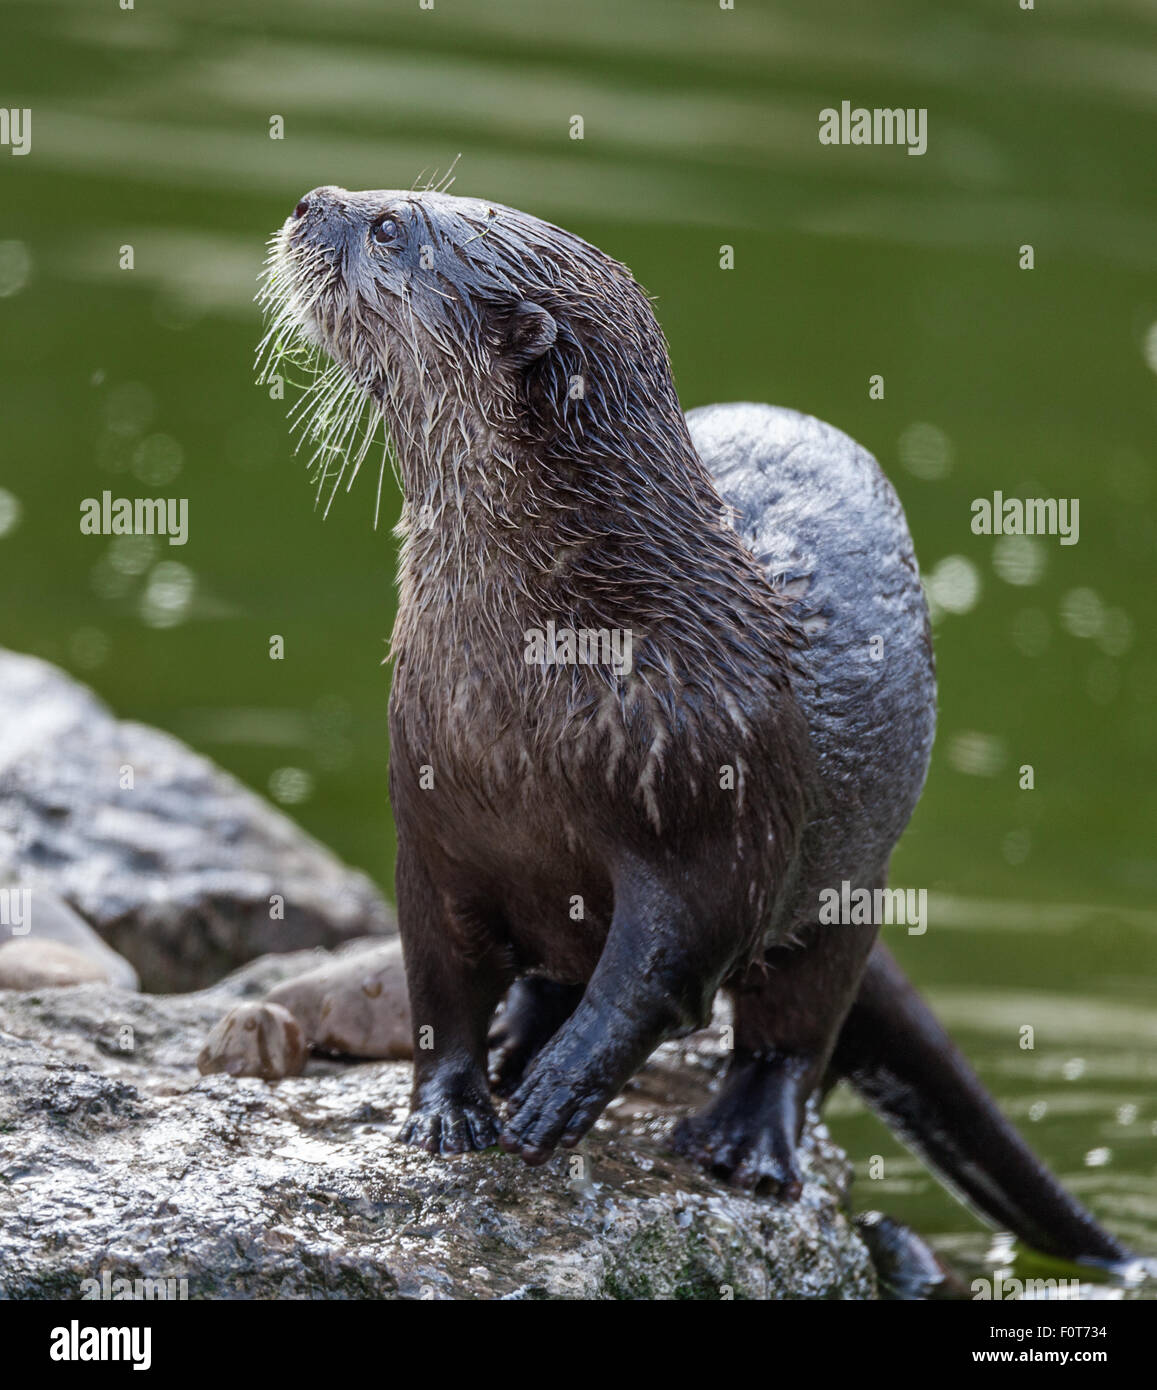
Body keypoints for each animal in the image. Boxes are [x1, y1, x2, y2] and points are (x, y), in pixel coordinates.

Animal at [260, 184, 1129, 1273]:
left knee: (794, 1024)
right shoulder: (433, 821)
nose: (310, 201)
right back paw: (518, 1040)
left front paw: (558, 1094)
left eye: (391, 228)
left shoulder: (714, 813)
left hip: (850, 886)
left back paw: (741, 1139)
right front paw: (449, 1106)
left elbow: (664, 964)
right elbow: (437, 974)